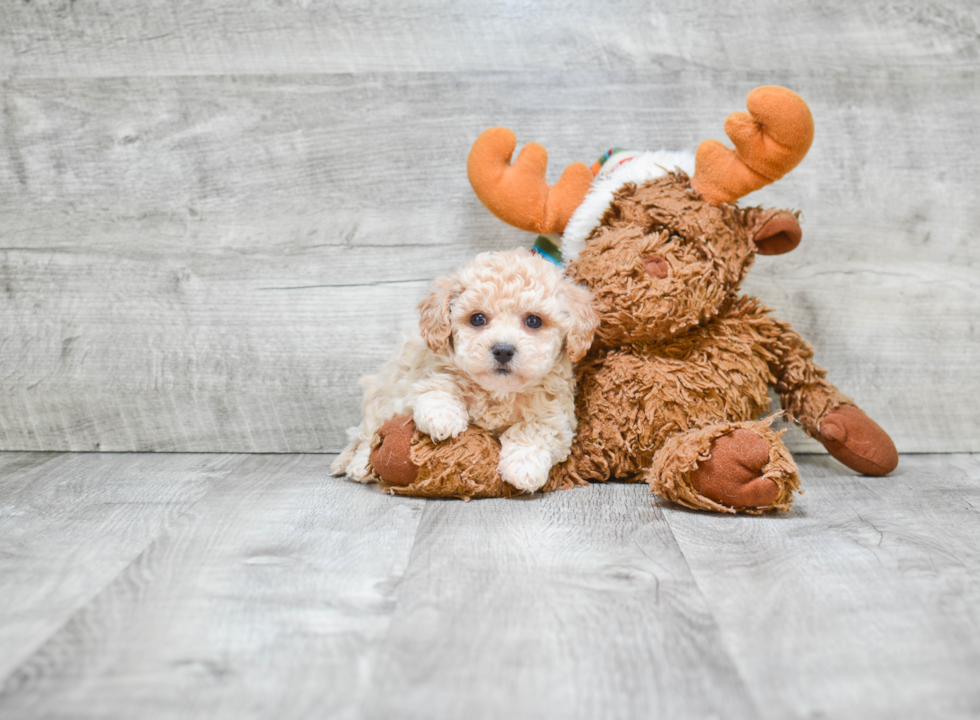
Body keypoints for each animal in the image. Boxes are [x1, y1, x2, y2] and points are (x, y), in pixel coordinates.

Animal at [334, 249, 596, 496]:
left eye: (534, 321)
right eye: (477, 319)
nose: (503, 350)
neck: (498, 393)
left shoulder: (558, 418)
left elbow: (534, 429)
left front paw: (523, 467)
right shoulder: (419, 377)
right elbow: (437, 385)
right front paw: (442, 417)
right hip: (379, 398)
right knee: (369, 436)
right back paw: (358, 466)